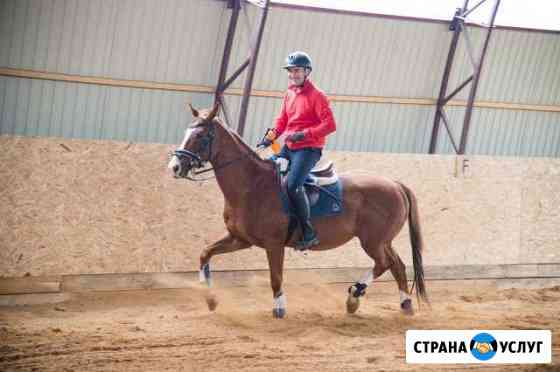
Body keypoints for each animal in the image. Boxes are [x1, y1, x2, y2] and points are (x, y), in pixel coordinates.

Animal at [167, 104, 428, 316]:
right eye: (186, 132)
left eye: (201, 136)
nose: (175, 166)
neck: (252, 185)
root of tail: (395, 184)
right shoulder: (240, 239)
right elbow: (205, 253)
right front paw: (210, 299)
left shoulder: (273, 244)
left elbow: (276, 277)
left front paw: (279, 308)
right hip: (383, 241)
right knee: (397, 265)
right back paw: (403, 304)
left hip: (373, 242)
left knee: (385, 264)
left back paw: (355, 295)